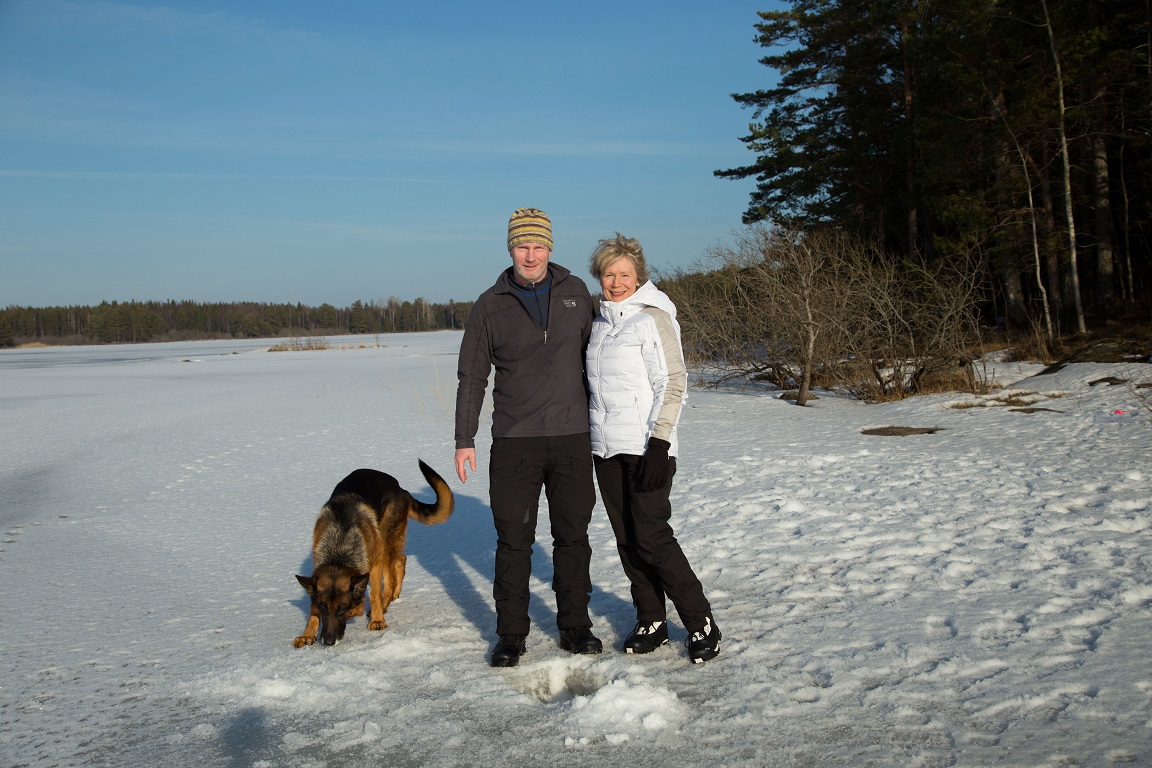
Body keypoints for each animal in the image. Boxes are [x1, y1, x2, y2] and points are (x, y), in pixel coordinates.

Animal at [292, 462, 453, 649]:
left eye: (342, 609)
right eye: (323, 608)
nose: (328, 642)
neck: (340, 551)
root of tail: (400, 489)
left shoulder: (374, 564)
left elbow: (375, 593)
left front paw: (377, 620)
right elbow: (312, 610)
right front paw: (307, 633)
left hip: (384, 541)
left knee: (391, 577)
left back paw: (384, 604)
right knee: (401, 559)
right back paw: (394, 595)